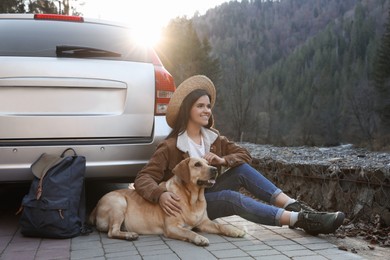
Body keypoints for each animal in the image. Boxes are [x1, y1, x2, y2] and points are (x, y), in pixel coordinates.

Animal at [90, 156, 245, 246]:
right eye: (197, 164)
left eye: (208, 163)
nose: (214, 169)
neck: (192, 199)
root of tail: (95, 206)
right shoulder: (172, 227)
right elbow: (189, 232)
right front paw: (199, 238)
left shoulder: (203, 222)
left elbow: (220, 226)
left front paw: (234, 230)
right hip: (119, 202)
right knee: (112, 232)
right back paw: (129, 235)